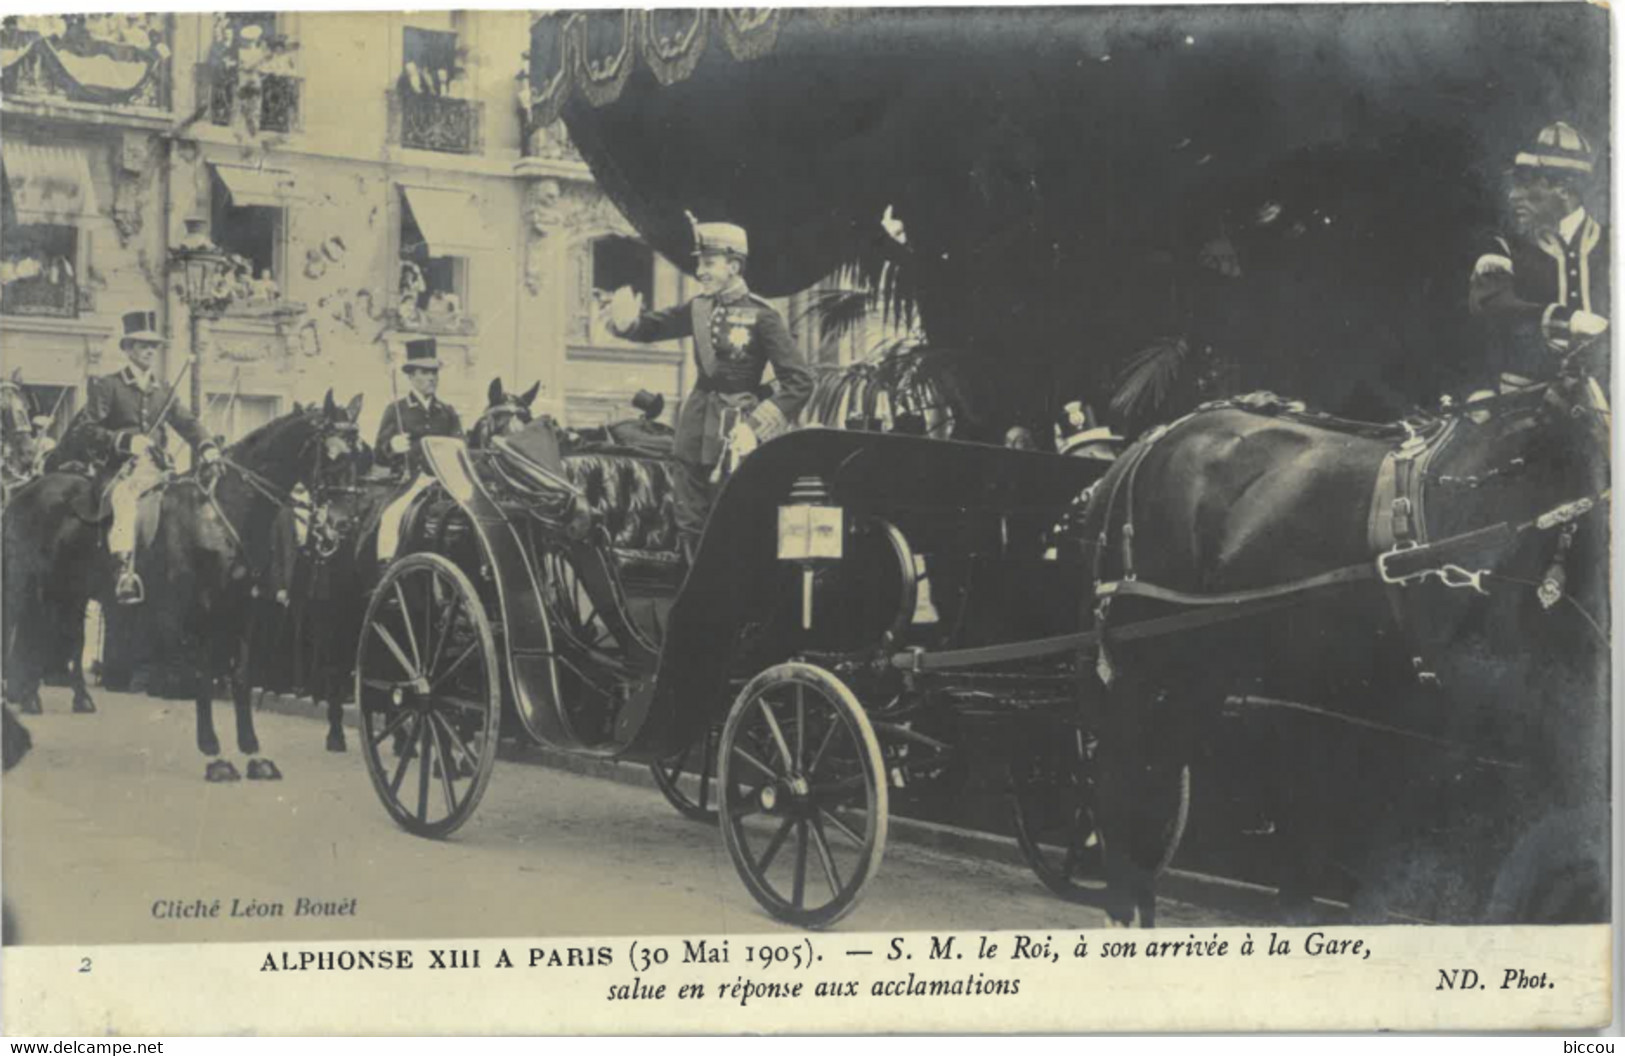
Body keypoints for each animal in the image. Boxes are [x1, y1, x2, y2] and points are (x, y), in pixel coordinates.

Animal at [143, 389, 365, 776]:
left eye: (359, 455)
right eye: (331, 453)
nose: (344, 525)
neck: (224, 513)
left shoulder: (245, 603)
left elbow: (242, 675)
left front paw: (251, 751)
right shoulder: (202, 608)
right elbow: (202, 673)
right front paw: (213, 752)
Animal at [1085, 365, 1605, 922]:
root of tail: (1156, 438)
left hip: (1207, 666)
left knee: (1159, 761)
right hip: (1150, 654)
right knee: (1123, 760)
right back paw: (1123, 898)